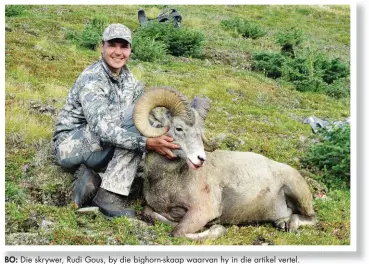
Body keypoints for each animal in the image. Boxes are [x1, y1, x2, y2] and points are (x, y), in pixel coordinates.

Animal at [134, 87, 314, 240]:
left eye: (200, 132)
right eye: (178, 128)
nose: (200, 159)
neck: (168, 182)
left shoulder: (201, 211)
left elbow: (178, 232)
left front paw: (217, 228)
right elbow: (149, 213)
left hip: (297, 192)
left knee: (311, 218)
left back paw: (290, 224)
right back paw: (281, 222)